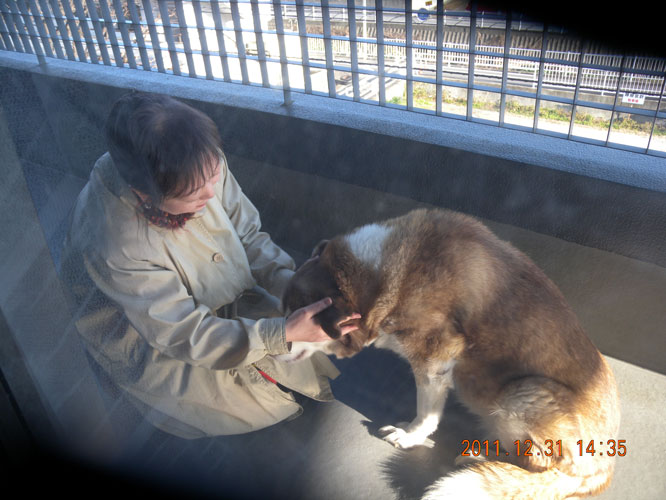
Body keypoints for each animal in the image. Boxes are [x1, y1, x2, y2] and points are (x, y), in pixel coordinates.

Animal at [276, 208, 620, 500]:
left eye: (301, 326)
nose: (274, 351)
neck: (385, 276)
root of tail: (602, 473)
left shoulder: (434, 362)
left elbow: (426, 414)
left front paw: (410, 436)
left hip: (523, 391)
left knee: (538, 466)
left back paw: (483, 458)